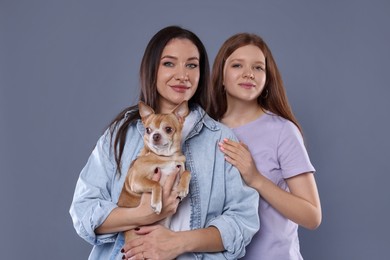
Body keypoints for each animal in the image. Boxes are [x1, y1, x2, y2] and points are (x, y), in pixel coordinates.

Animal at [118, 100, 191, 244]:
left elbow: (187, 172)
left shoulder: (179, 168)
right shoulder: (136, 181)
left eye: (168, 129)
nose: (155, 135)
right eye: (148, 130)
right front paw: (157, 204)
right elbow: (156, 184)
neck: (165, 157)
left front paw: (183, 188)